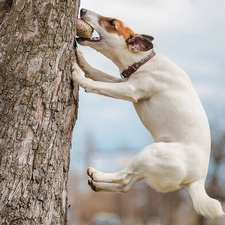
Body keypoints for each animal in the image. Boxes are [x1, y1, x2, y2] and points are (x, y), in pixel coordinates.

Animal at [71, 8, 224, 218]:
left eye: (111, 22)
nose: (82, 10)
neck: (143, 62)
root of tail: (198, 180)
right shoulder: (123, 81)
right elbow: (99, 75)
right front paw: (83, 62)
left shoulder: (130, 90)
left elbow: (99, 85)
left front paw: (79, 75)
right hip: (150, 165)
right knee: (126, 185)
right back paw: (99, 185)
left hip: (150, 153)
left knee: (124, 176)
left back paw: (97, 174)